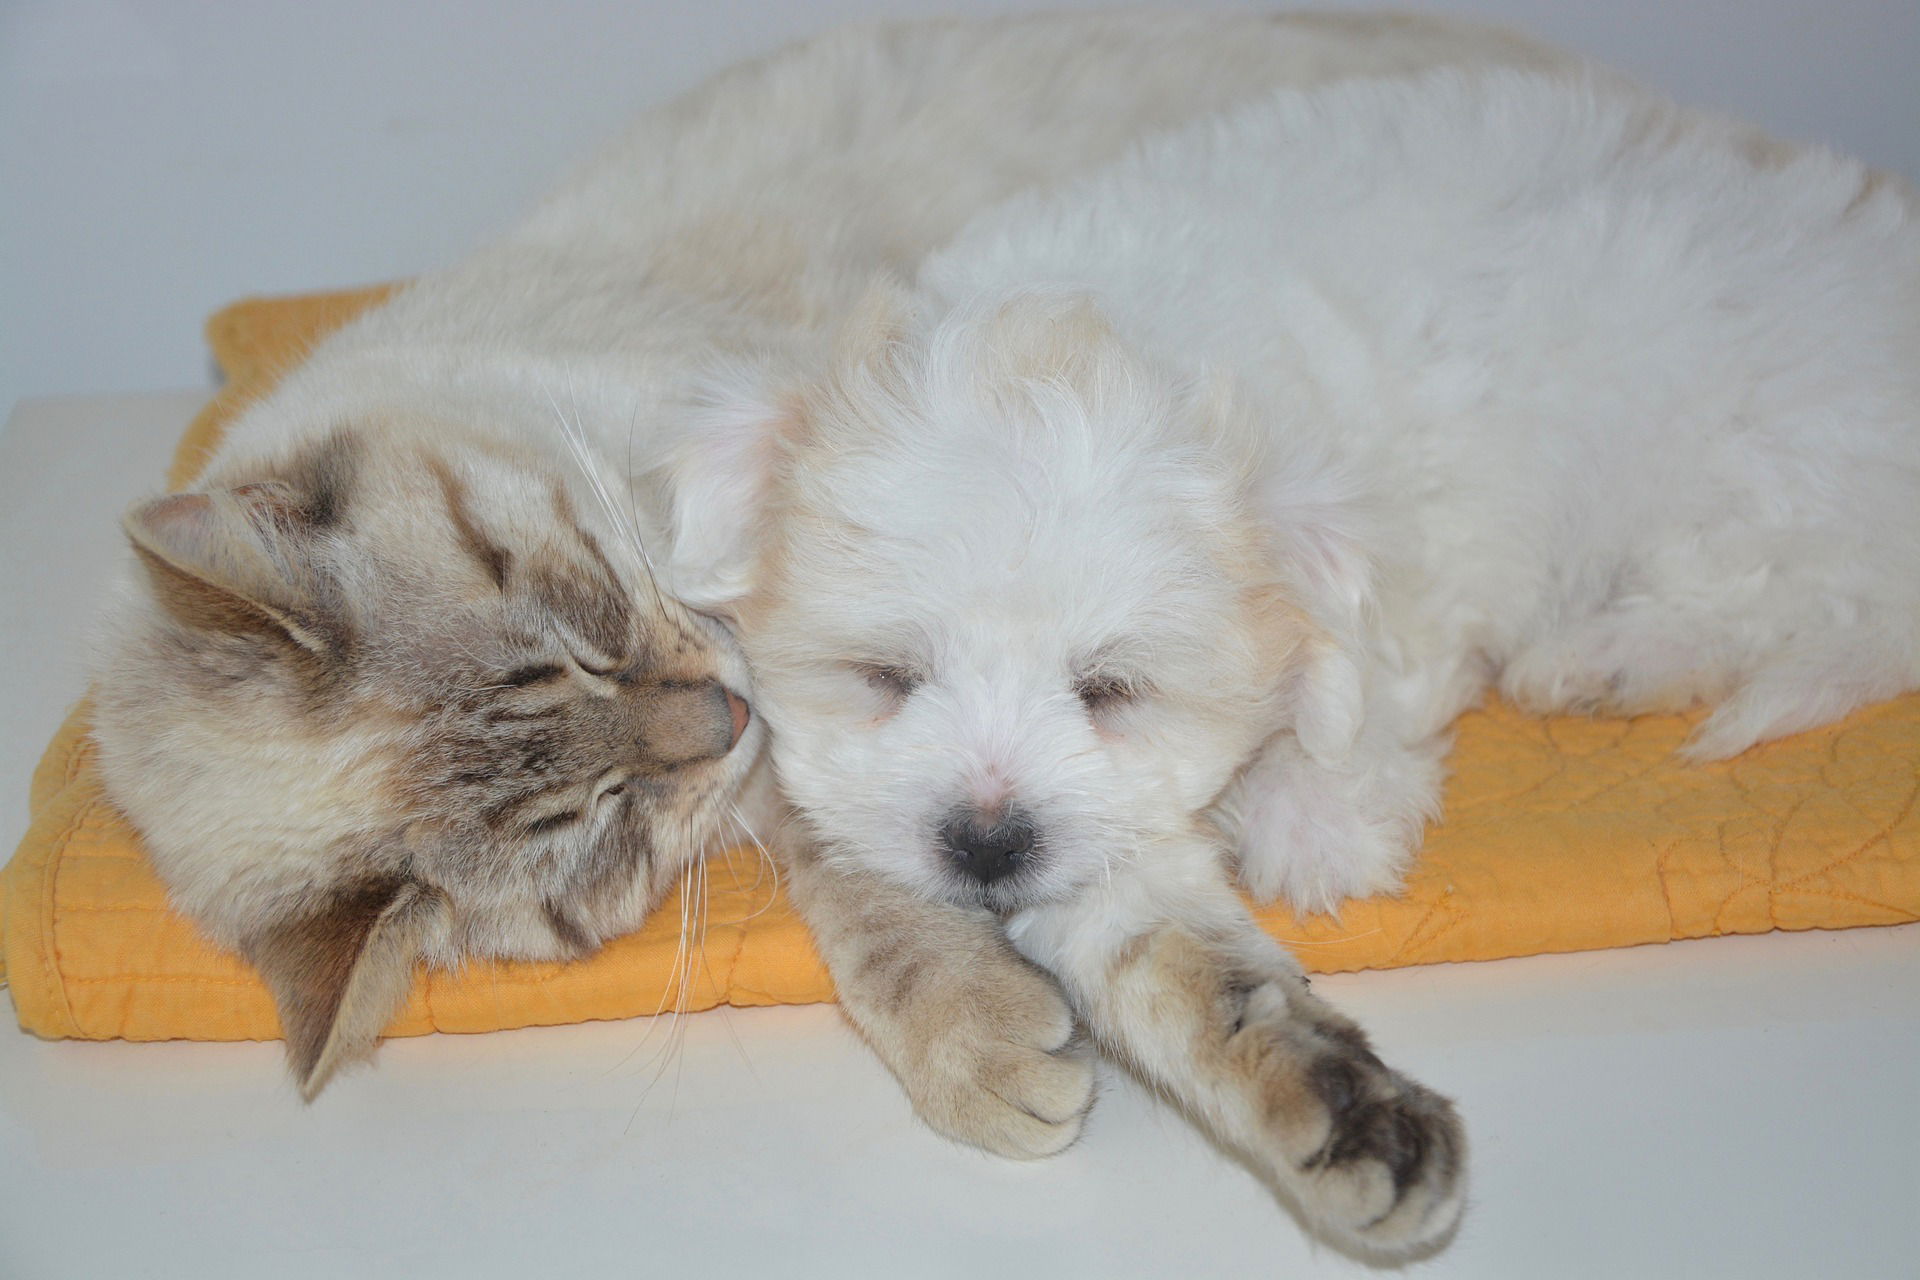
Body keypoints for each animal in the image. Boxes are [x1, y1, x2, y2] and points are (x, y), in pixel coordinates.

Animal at [695, 72, 1920, 1258]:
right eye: (887, 676)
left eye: (1109, 689)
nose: (987, 843)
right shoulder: (1112, 829)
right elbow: (1177, 956)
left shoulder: (1413, 547)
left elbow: (1359, 684)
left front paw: (1314, 813)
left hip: (1763, 457)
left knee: (1796, 588)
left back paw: (1607, 656)